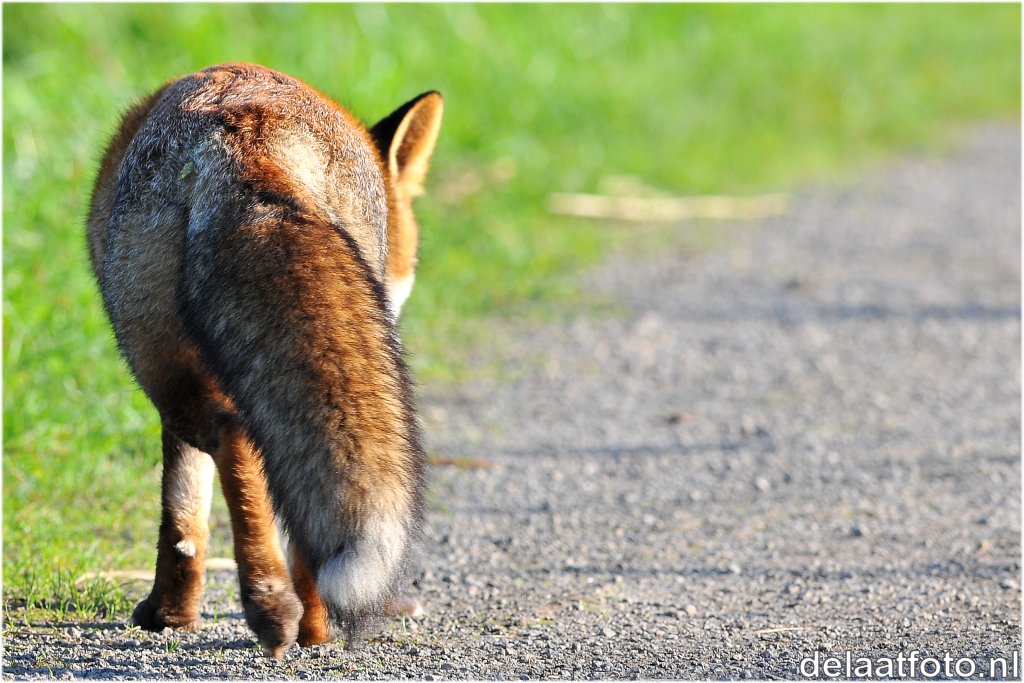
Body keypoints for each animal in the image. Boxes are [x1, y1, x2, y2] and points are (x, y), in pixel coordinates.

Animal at [86, 63, 443, 657]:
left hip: (156, 357)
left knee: (233, 446)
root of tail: (245, 132)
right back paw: (304, 623)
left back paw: (271, 606)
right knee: (271, 476)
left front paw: (170, 615)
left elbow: (181, 513)